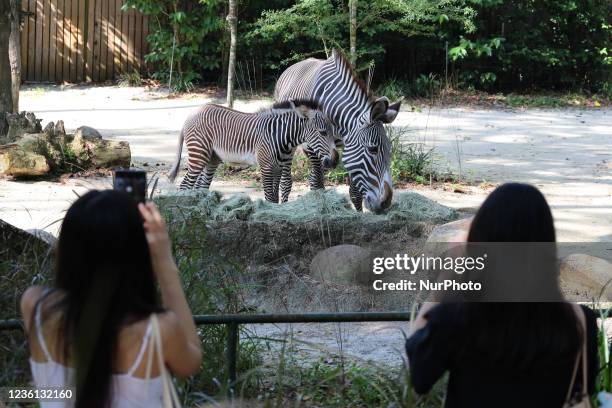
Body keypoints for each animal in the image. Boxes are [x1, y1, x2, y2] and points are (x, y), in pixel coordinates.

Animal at [167, 100, 338, 204]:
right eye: (323, 133)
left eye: (332, 132)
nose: (335, 161)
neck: (279, 135)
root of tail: (192, 113)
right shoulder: (266, 167)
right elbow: (269, 197)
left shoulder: (278, 168)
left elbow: (275, 197)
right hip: (198, 154)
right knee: (185, 186)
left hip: (211, 158)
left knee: (200, 187)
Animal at [274, 49, 402, 212]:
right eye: (372, 149)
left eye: (389, 150)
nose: (385, 204)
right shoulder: (313, 145)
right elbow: (317, 185)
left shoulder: (347, 148)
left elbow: (355, 193)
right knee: (287, 181)